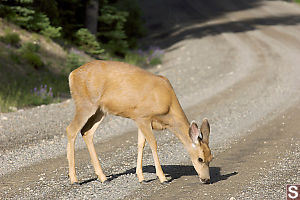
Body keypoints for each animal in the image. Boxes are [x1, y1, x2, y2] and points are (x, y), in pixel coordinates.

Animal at [67, 60, 212, 184]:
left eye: (211, 158)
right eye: (200, 159)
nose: (206, 179)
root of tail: (72, 74)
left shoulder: (140, 120)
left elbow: (140, 144)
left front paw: (141, 177)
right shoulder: (143, 116)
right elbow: (153, 143)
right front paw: (162, 178)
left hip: (100, 110)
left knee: (86, 132)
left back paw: (103, 177)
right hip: (85, 104)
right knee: (71, 130)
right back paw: (74, 179)